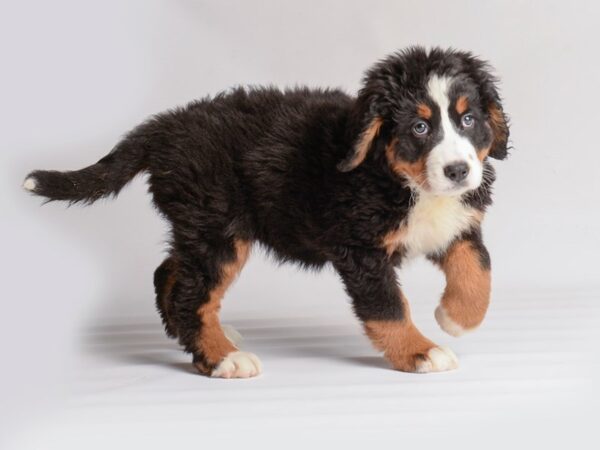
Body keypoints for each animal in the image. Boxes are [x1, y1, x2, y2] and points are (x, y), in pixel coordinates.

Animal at [24, 46, 510, 376]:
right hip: (217, 230)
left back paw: (211, 337)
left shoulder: (458, 225)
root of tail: (169, 126)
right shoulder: (360, 248)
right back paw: (222, 358)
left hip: (201, 229)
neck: (401, 179)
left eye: (468, 119)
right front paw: (420, 351)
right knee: (189, 293)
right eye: (420, 127)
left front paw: (457, 318)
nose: (458, 170)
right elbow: (387, 306)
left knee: (168, 274)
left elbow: (479, 269)